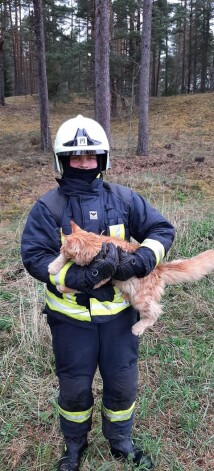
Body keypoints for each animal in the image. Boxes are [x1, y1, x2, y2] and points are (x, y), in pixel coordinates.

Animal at [48, 223, 214, 338]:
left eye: (63, 247)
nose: (60, 249)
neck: (98, 247)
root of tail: (158, 268)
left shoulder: (99, 277)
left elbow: (82, 284)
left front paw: (63, 287)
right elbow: (66, 264)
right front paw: (54, 266)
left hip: (141, 299)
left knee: (156, 311)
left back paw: (138, 328)